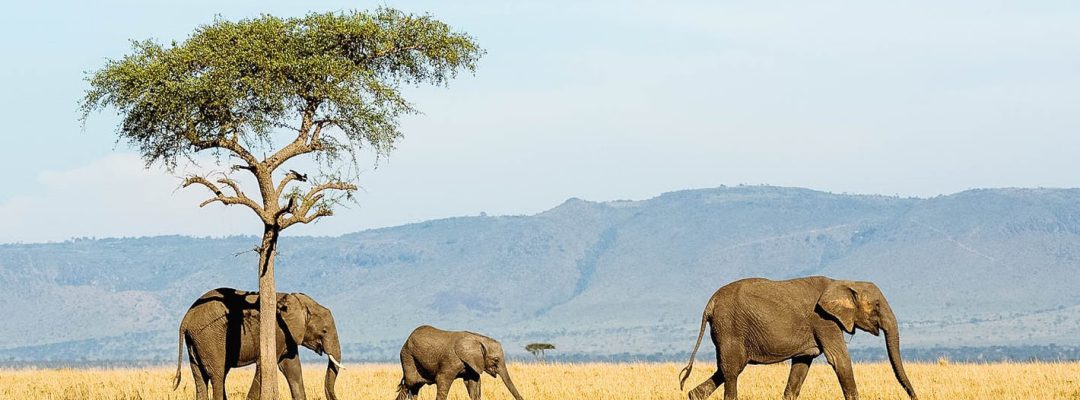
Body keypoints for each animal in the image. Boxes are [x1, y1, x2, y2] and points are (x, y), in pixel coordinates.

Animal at [172, 288, 343, 400]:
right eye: (324, 331)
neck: (295, 299)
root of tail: (186, 318)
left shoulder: (288, 336)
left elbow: (292, 368)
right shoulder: (277, 331)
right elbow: (265, 365)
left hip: (196, 340)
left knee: (199, 375)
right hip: (209, 337)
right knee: (217, 375)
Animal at [395, 325, 526, 400]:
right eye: (496, 360)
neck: (478, 339)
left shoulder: (471, 364)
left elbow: (473, 386)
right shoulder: (451, 361)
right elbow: (442, 382)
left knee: (415, 387)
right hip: (407, 356)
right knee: (409, 383)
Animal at [678, 276, 917, 400]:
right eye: (876, 305)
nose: (914, 396)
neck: (844, 282)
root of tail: (710, 303)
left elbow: (801, 366)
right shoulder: (823, 320)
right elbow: (838, 359)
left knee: (725, 369)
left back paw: (693, 395)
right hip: (730, 327)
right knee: (731, 371)